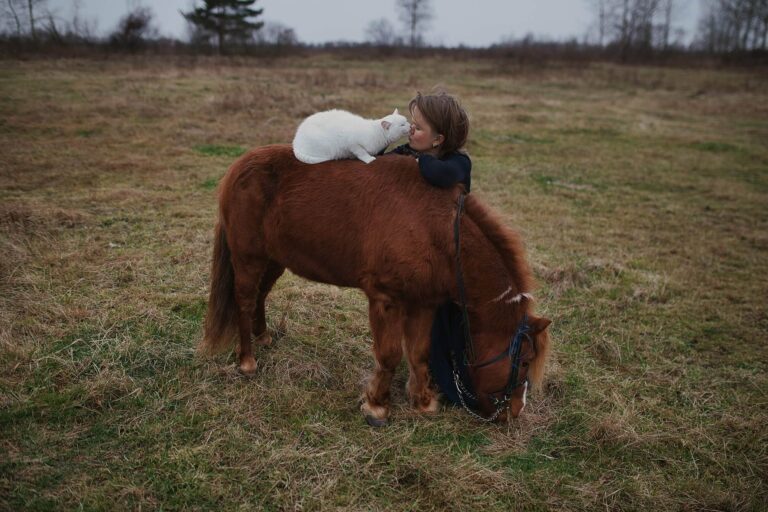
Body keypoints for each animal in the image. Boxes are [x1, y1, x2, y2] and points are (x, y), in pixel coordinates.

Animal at [201, 144, 551, 424]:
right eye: (524, 361)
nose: (515, 412)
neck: (436, 232)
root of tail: (240, 166)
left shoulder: (424, 303)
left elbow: (419, 352)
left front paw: (423, 401)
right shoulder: (387, 299)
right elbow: (390, 355)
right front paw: (377, 406)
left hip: (275, 260)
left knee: (261, 296)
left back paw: (263, 337)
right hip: (248, 258)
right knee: (245, 301)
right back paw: (247, 361)